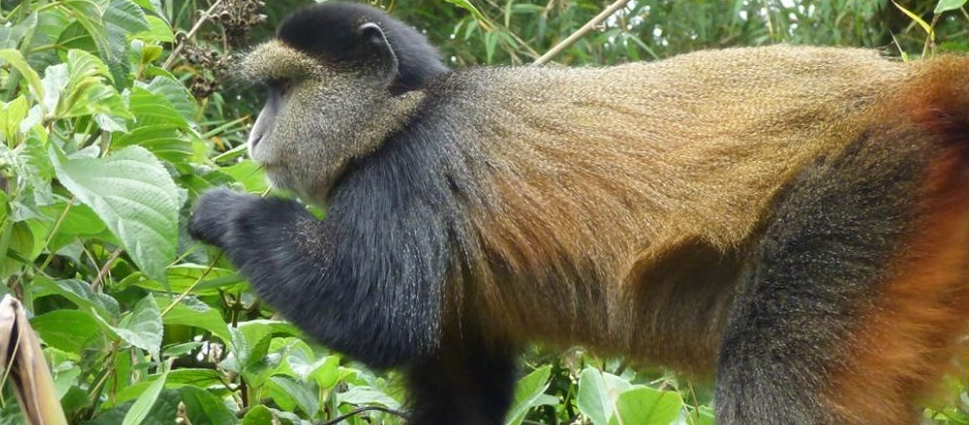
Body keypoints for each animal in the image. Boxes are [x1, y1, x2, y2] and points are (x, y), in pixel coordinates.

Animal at [188, 2, 969, 424]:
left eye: (282, 90)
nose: (254, 135)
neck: (402, 111)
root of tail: (911, 92)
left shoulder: (403, 177)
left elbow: (377, 313)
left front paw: (220, 208)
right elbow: (460, 390)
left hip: (862, 199)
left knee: (778, 377)